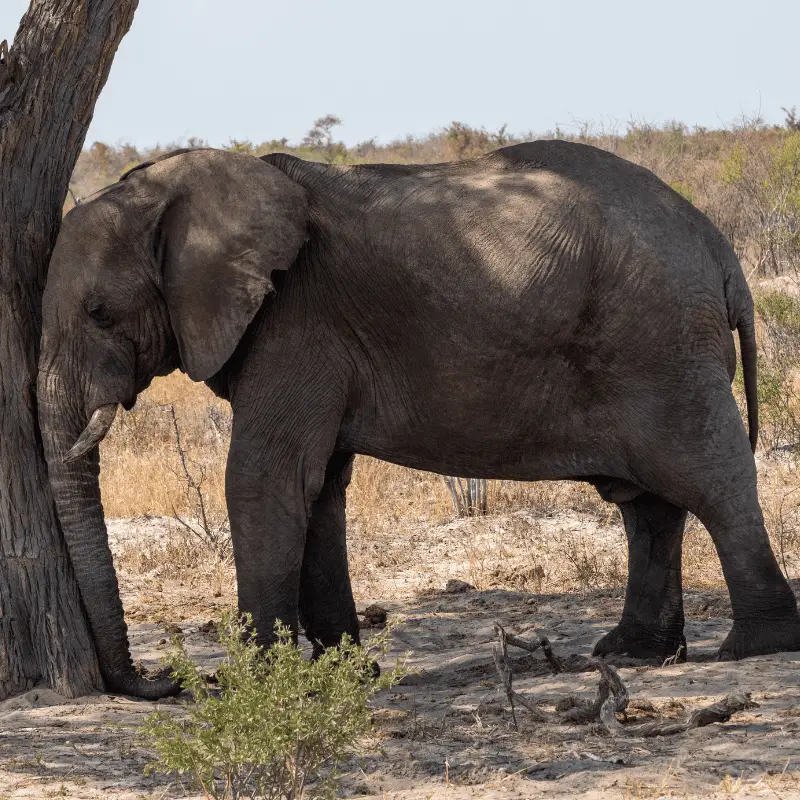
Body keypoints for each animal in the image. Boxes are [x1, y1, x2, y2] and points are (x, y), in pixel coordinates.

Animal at [37, 144, 800, 700]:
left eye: (100, 313)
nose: (162, 683)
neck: (181, 183)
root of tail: (718, 247)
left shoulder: (295, 324)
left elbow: (265, 479)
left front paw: (256, 683)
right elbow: (319, 489)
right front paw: (346, 674)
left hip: (661, 345)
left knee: (709, 479)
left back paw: (754, 646)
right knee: (648, 503)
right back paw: (634, 653)